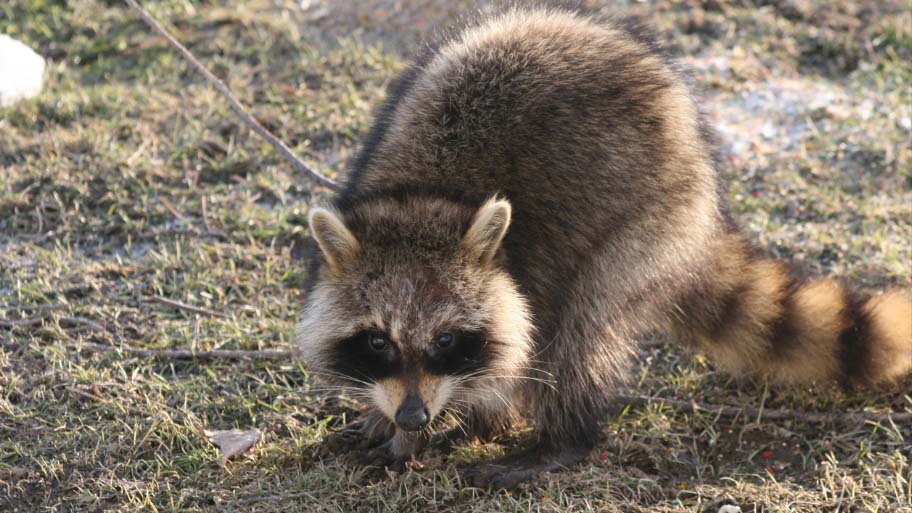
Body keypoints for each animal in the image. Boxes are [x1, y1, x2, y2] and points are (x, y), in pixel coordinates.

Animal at [294, 8, 912, 488]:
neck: (425, 200)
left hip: (644, 227)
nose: (415, 418)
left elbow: (512, 358)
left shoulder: (525, 265)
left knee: (574, 334)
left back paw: (559, 437)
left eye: (446, 340)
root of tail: (708, 204)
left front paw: (432, 432)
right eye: (378, 341)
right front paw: (388, 419)